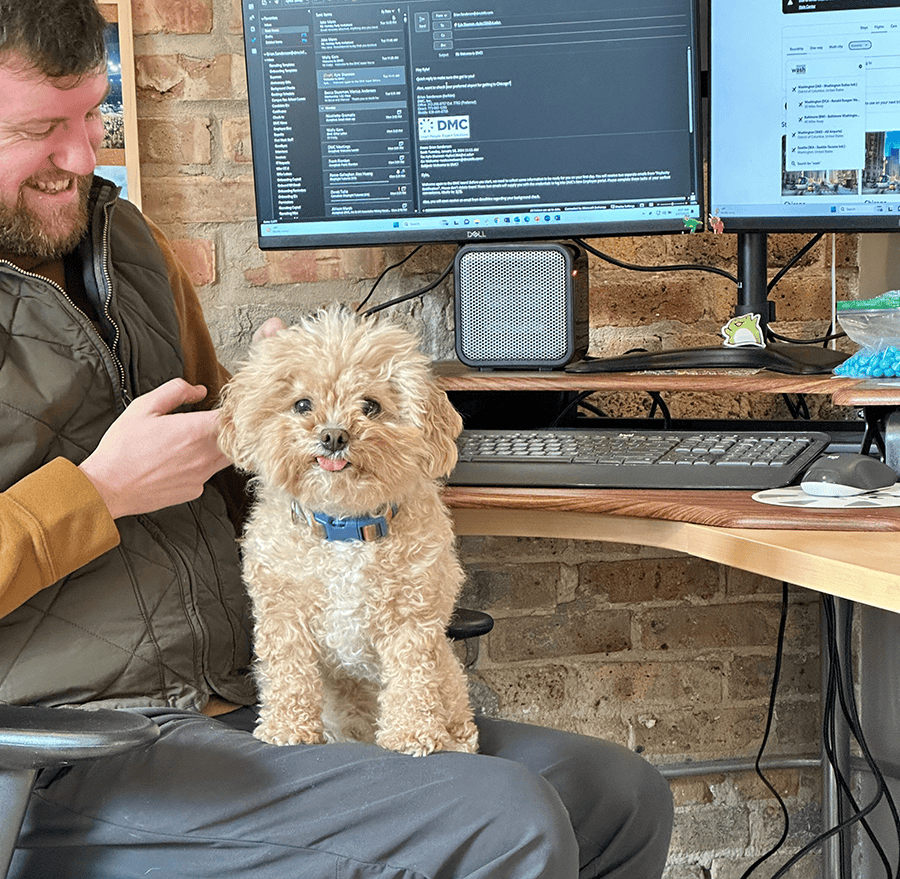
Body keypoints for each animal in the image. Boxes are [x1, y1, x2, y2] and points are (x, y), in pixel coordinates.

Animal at [218, 304, 478, 756]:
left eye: (370, 406)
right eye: (302, 404)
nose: (334, 435)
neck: (343, 524)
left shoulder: (413, 618)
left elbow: (412, 677)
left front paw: (412, 734)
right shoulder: (283, 612)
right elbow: (288, 672)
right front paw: (288, 727)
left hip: (449, 676)